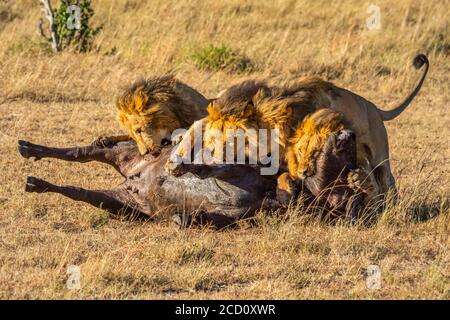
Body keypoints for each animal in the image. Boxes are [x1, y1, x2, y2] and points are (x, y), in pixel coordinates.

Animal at [166, 55, 428, 200]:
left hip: (378, 153)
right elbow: (198, 124)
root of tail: (374, 107)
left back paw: (388, 203)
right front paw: (175, 160)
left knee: (387, 180)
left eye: (228, 143)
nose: (206, 161)